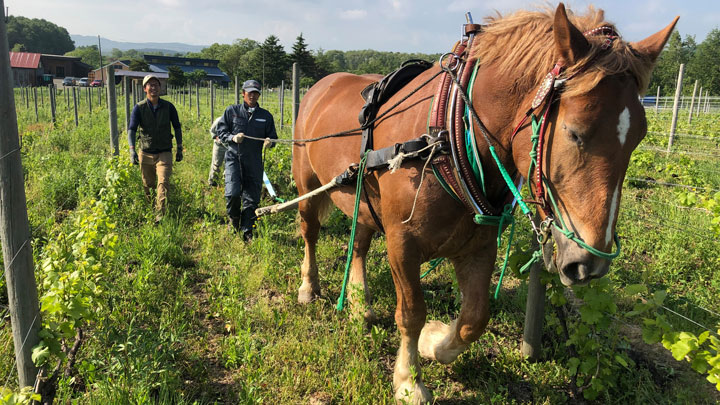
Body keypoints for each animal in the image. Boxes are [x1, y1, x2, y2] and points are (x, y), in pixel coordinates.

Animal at [292, 2, 676, 400]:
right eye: (574, 132)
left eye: (638, 138)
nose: (591, 264)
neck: (446, 138)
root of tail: (322, 85)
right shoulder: (402, 245)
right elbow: (411, 312)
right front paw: (409, 380)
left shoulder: (478, 246)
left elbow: (473, 320)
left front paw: (433, 340)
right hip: (306, 182)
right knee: (310, 232)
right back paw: (309, 288)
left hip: (363, 199)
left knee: (360, 243)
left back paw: (358, 303)